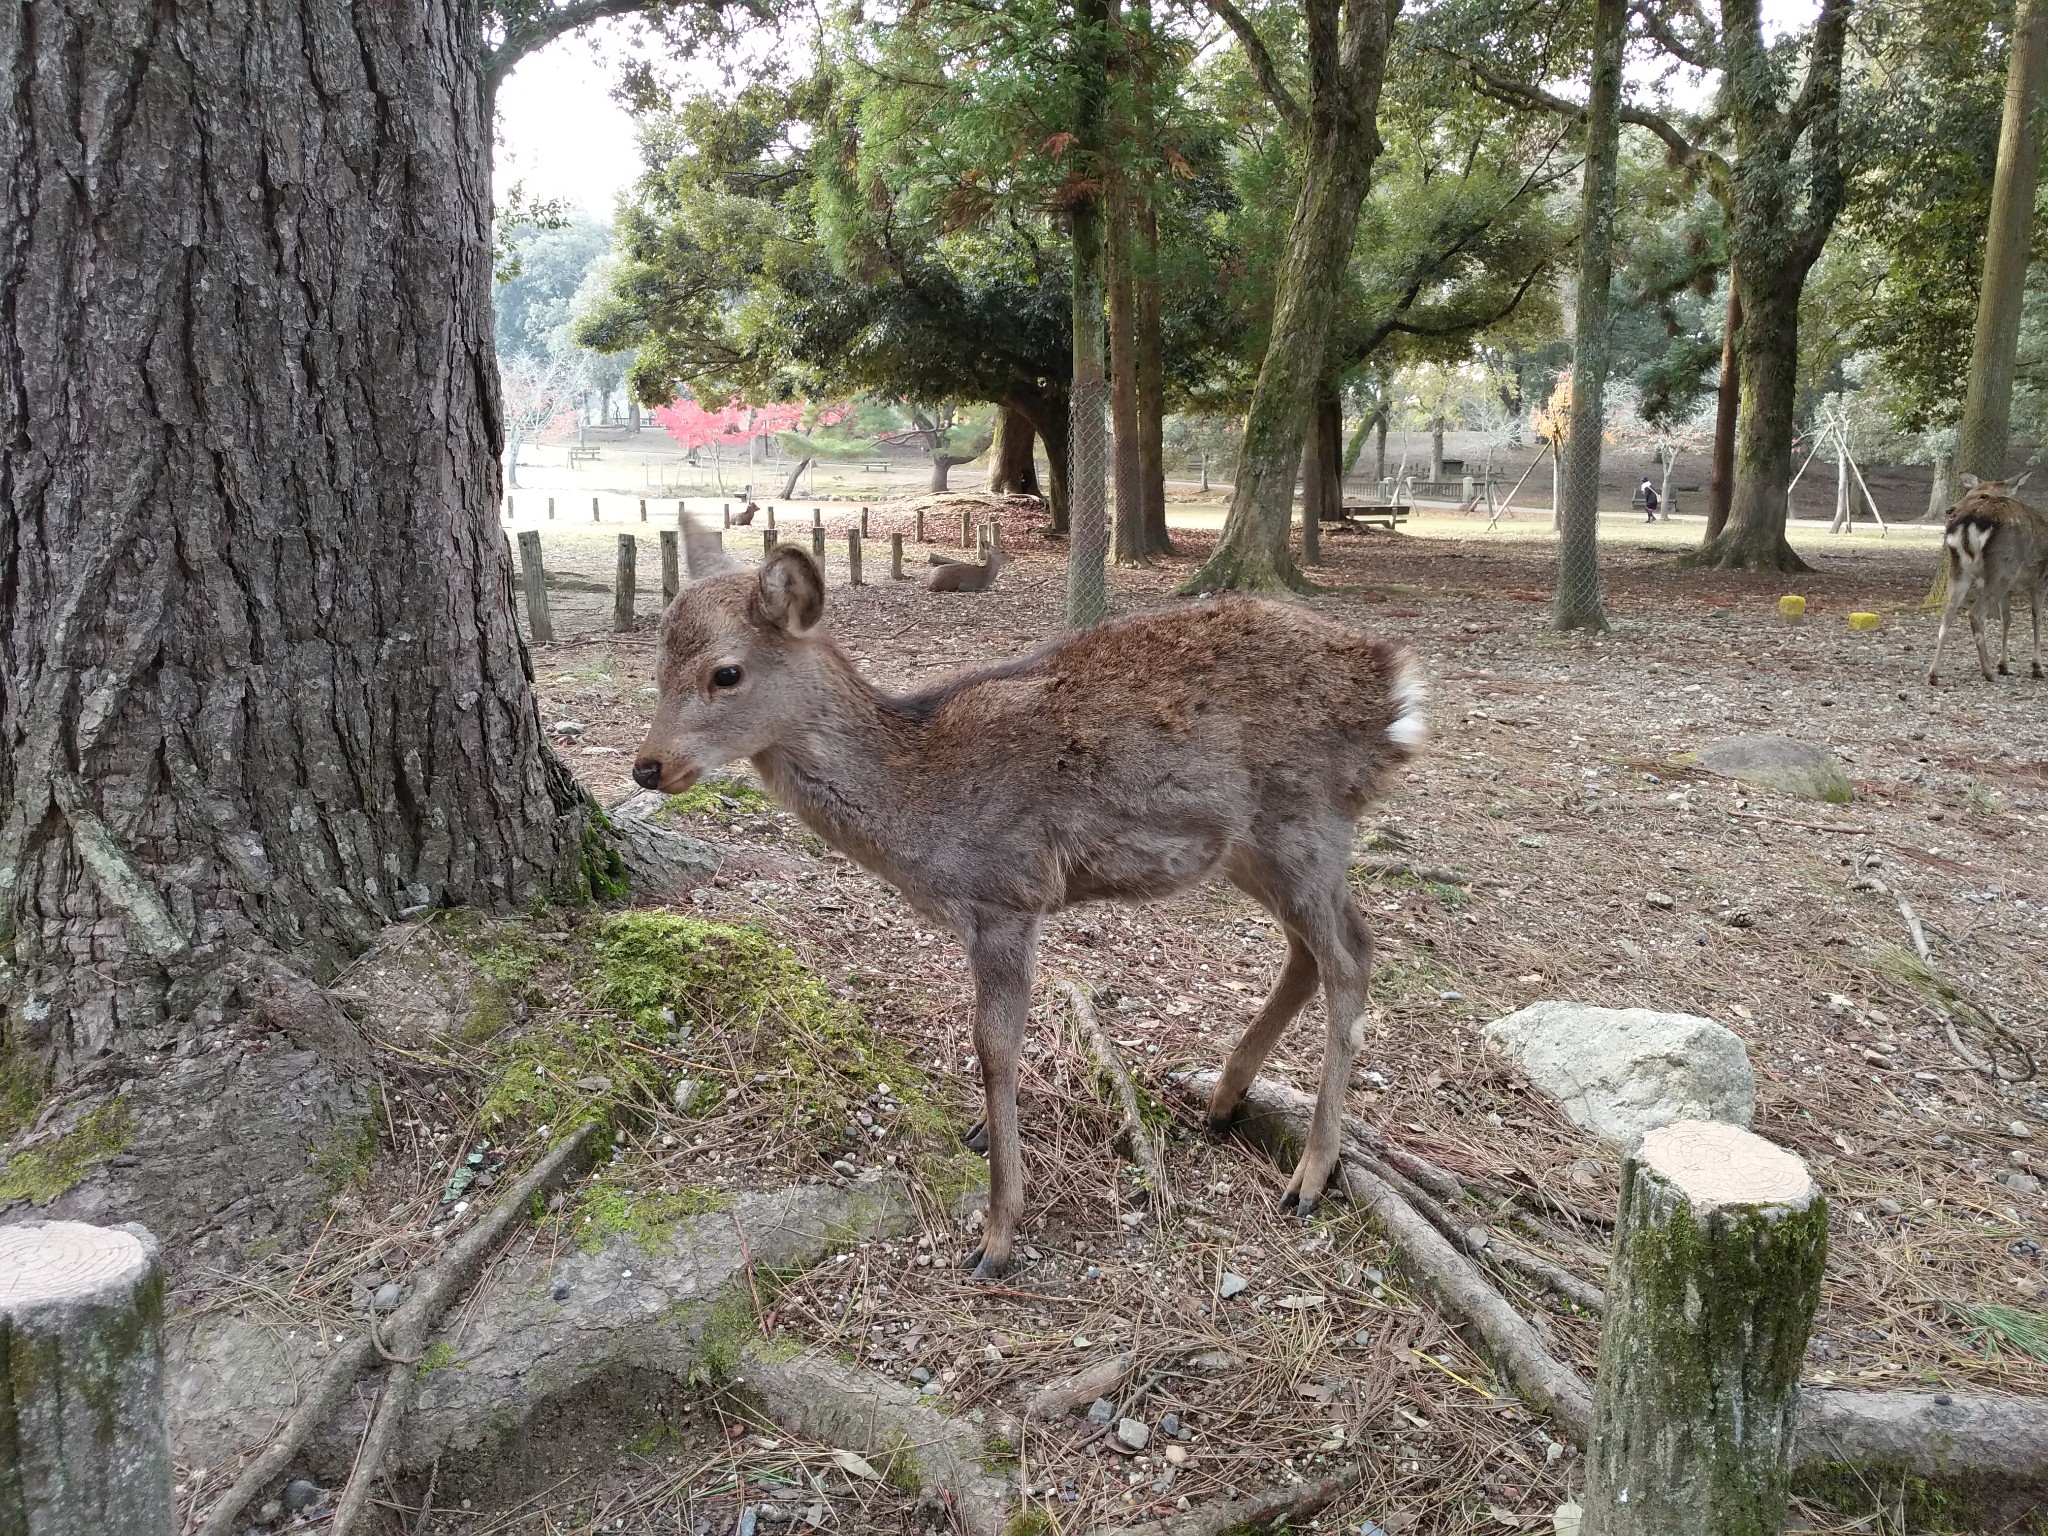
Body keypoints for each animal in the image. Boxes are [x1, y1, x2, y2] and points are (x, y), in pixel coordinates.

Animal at [634, 524, 1425, 1277]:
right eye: (657, 664)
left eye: (726, 672)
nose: (648, 767)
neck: (921, 808)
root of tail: (1396, 694)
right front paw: (986, 1138)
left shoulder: (1005, 895)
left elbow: (994, 1045)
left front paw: (997, 1232)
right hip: (1248, 848)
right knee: (1310, 950)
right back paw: (1224, 1101)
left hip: (1304, 819)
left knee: (1351, 955)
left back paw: (1310, 1175)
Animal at [1925, 473, 2039, 684]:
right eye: (1968, 492)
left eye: (1984, 495)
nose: (1950, 510)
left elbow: (2007, 618)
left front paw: (2005, 664)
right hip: (2000, 572)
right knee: (1976, 614)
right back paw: (1988, 671)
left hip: (1960, 571)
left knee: (1948, 616)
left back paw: (1934, 673)